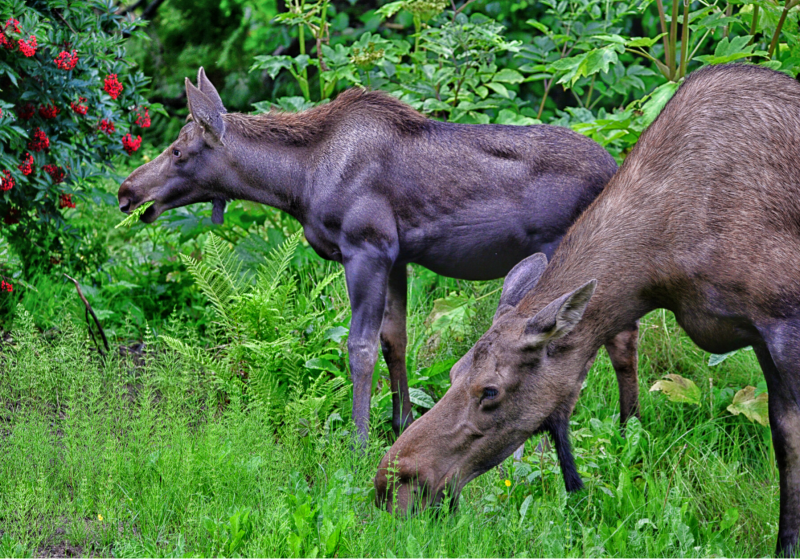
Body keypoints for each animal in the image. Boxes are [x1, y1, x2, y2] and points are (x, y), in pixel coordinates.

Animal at [117, 68, 640, 453]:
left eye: (178, 151)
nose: (127, 192)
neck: (296, 182)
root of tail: (614, 167)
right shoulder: (398, 257)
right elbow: (396, 340)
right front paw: (400, 421)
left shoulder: (366, 248)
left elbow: (360, 348)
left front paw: (359, 440)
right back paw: (627, 427)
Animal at [374, 63, 800, 557]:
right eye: (455, 372)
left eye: (490, 391)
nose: (394, 482)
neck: (664, 264)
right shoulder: (760, 335)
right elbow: (784, 439)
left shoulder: (784, 322)